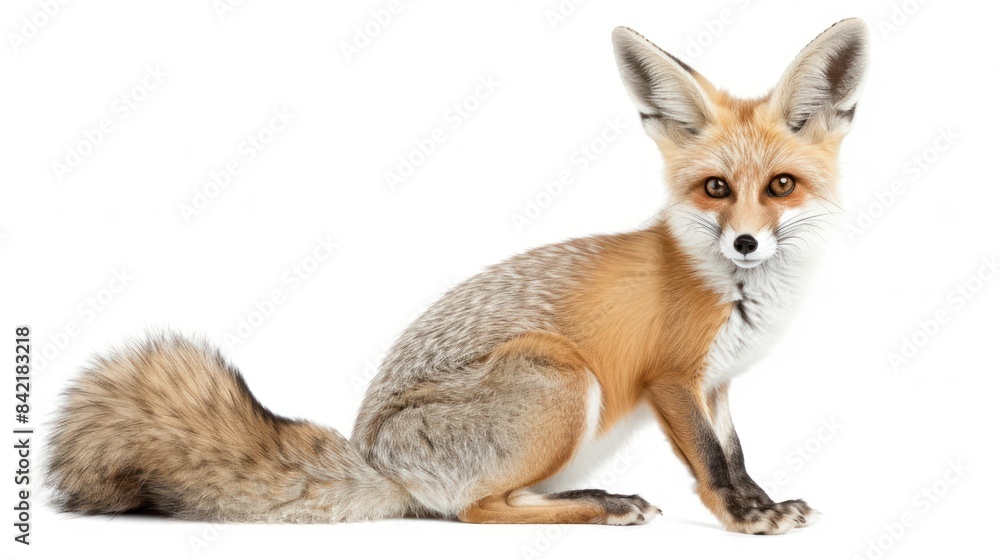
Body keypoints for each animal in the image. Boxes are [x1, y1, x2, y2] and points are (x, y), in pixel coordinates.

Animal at [46, 19, 869, 534]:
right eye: (717, 189)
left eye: (782, 187)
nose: (746, 244)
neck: (737, 295)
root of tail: (378, 461)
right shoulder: (672, 378)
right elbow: (710, 463)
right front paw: (744, 520)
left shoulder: (718, 383)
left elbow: (736, 455)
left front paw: (763, 504)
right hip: (560, 374)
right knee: (475, 510)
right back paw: (602, 507)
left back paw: (591, 495)